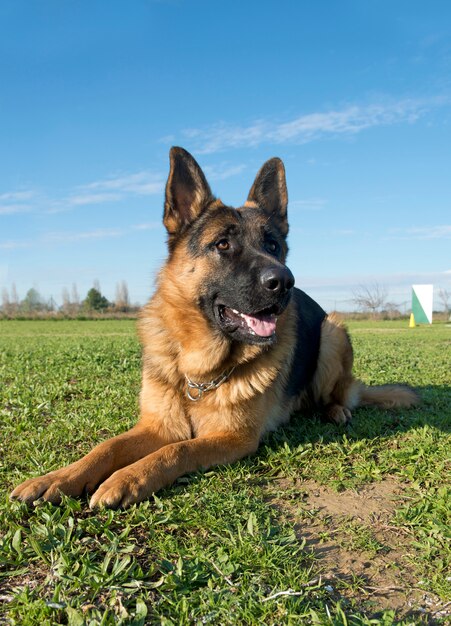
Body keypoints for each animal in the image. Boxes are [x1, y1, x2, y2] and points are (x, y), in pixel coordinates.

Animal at [11, 147, 420, 508]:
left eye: (273, 245)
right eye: (223, 244)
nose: (285, 281)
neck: (198, 373)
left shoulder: (233, 437)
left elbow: (176, 450)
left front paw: (126, 478)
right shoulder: (156, 426)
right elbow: (106, 446)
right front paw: (57, 478)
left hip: (333, 330)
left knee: (340, 393)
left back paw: (335, 410)